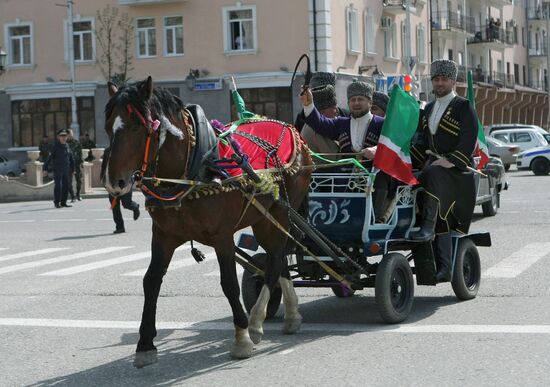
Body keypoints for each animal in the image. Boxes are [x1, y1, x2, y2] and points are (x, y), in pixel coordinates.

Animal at [102, 76, 312, 370]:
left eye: (136, 127)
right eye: (108, 127)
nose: (114, 183)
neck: (194, 167)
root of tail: (289, 127)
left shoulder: (222, 236)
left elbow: (228, 283)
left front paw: (241, 337)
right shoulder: (163, 235)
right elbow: (151, 281)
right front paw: (145, 345)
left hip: (280, 212)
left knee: (274, 261)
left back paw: (256, 321)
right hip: (263, 217)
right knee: (278, 258)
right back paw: (291, 314)